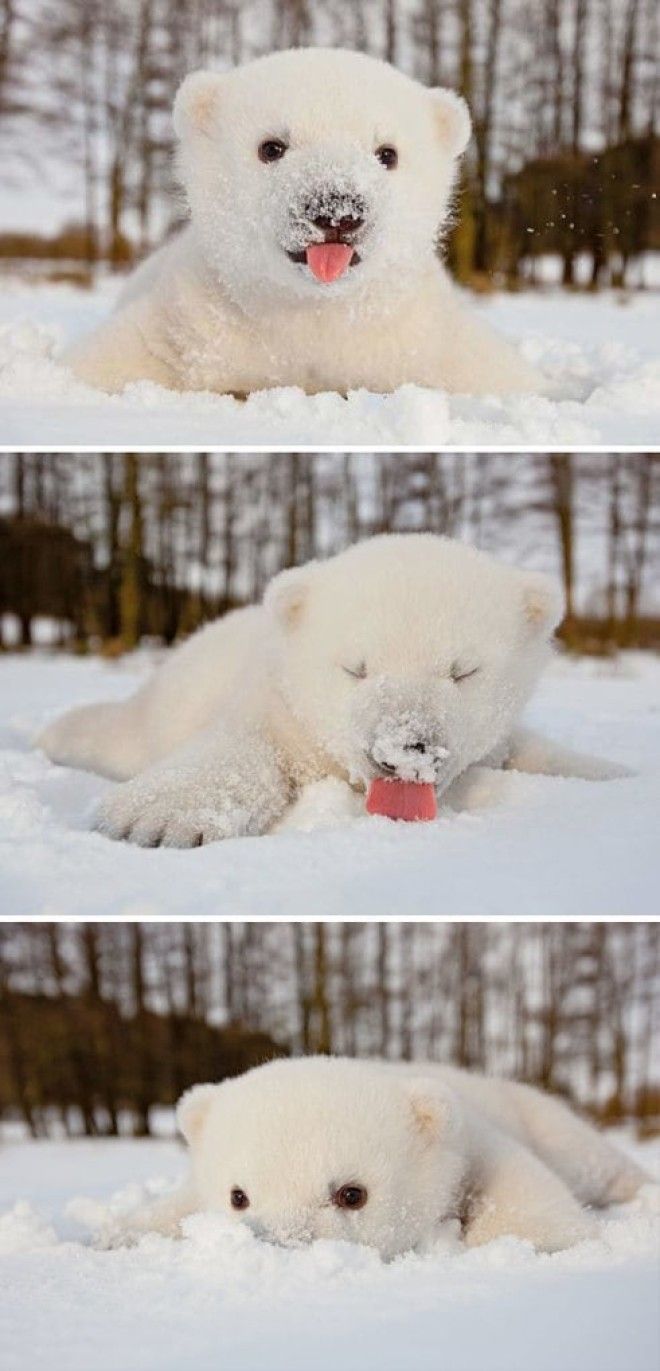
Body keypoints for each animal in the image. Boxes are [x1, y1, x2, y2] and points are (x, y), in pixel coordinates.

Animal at [41, 534, 622, 844]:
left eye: (463, 671)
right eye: (355, 668)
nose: (405, 749)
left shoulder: (499, 739)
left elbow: (534, 751)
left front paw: (614, 776)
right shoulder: (277, 704)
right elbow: (243, 746)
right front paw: (152, 818)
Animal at [66, 46, 540, 397]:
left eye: (387, 153)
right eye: (272, 146)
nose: (338, 210)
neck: (314, 314)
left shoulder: (421, 340)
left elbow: (490, 372)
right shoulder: (190, 324)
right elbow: (112, 360)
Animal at [105, 1052, 644, 1255]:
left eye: (352, 1193)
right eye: (238, 1196)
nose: (282, 1244)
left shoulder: (474, 1141)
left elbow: (524, 1199)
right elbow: (172, 1209)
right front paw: (115, 1237)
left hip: (539, 1116)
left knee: (589, 1158)